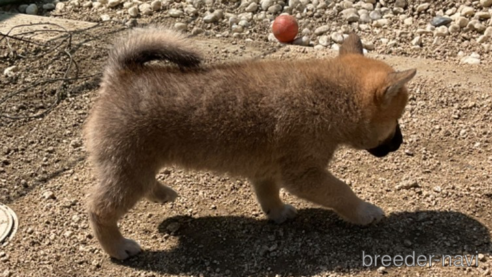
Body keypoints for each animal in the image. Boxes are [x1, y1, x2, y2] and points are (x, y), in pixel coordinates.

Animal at [83, 27, 416, 258]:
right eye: (396, 121)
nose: (400, 143)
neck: (328, 98)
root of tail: (118, 77)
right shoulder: (304, 174)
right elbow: (342, 192)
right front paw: (365, 212)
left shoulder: (266, 168)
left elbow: (268, 195)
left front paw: (277, 213)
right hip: (130, 169)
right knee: (100, 210)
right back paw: (118, 248)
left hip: (137, 166)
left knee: (143, 185)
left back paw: (161, 194)